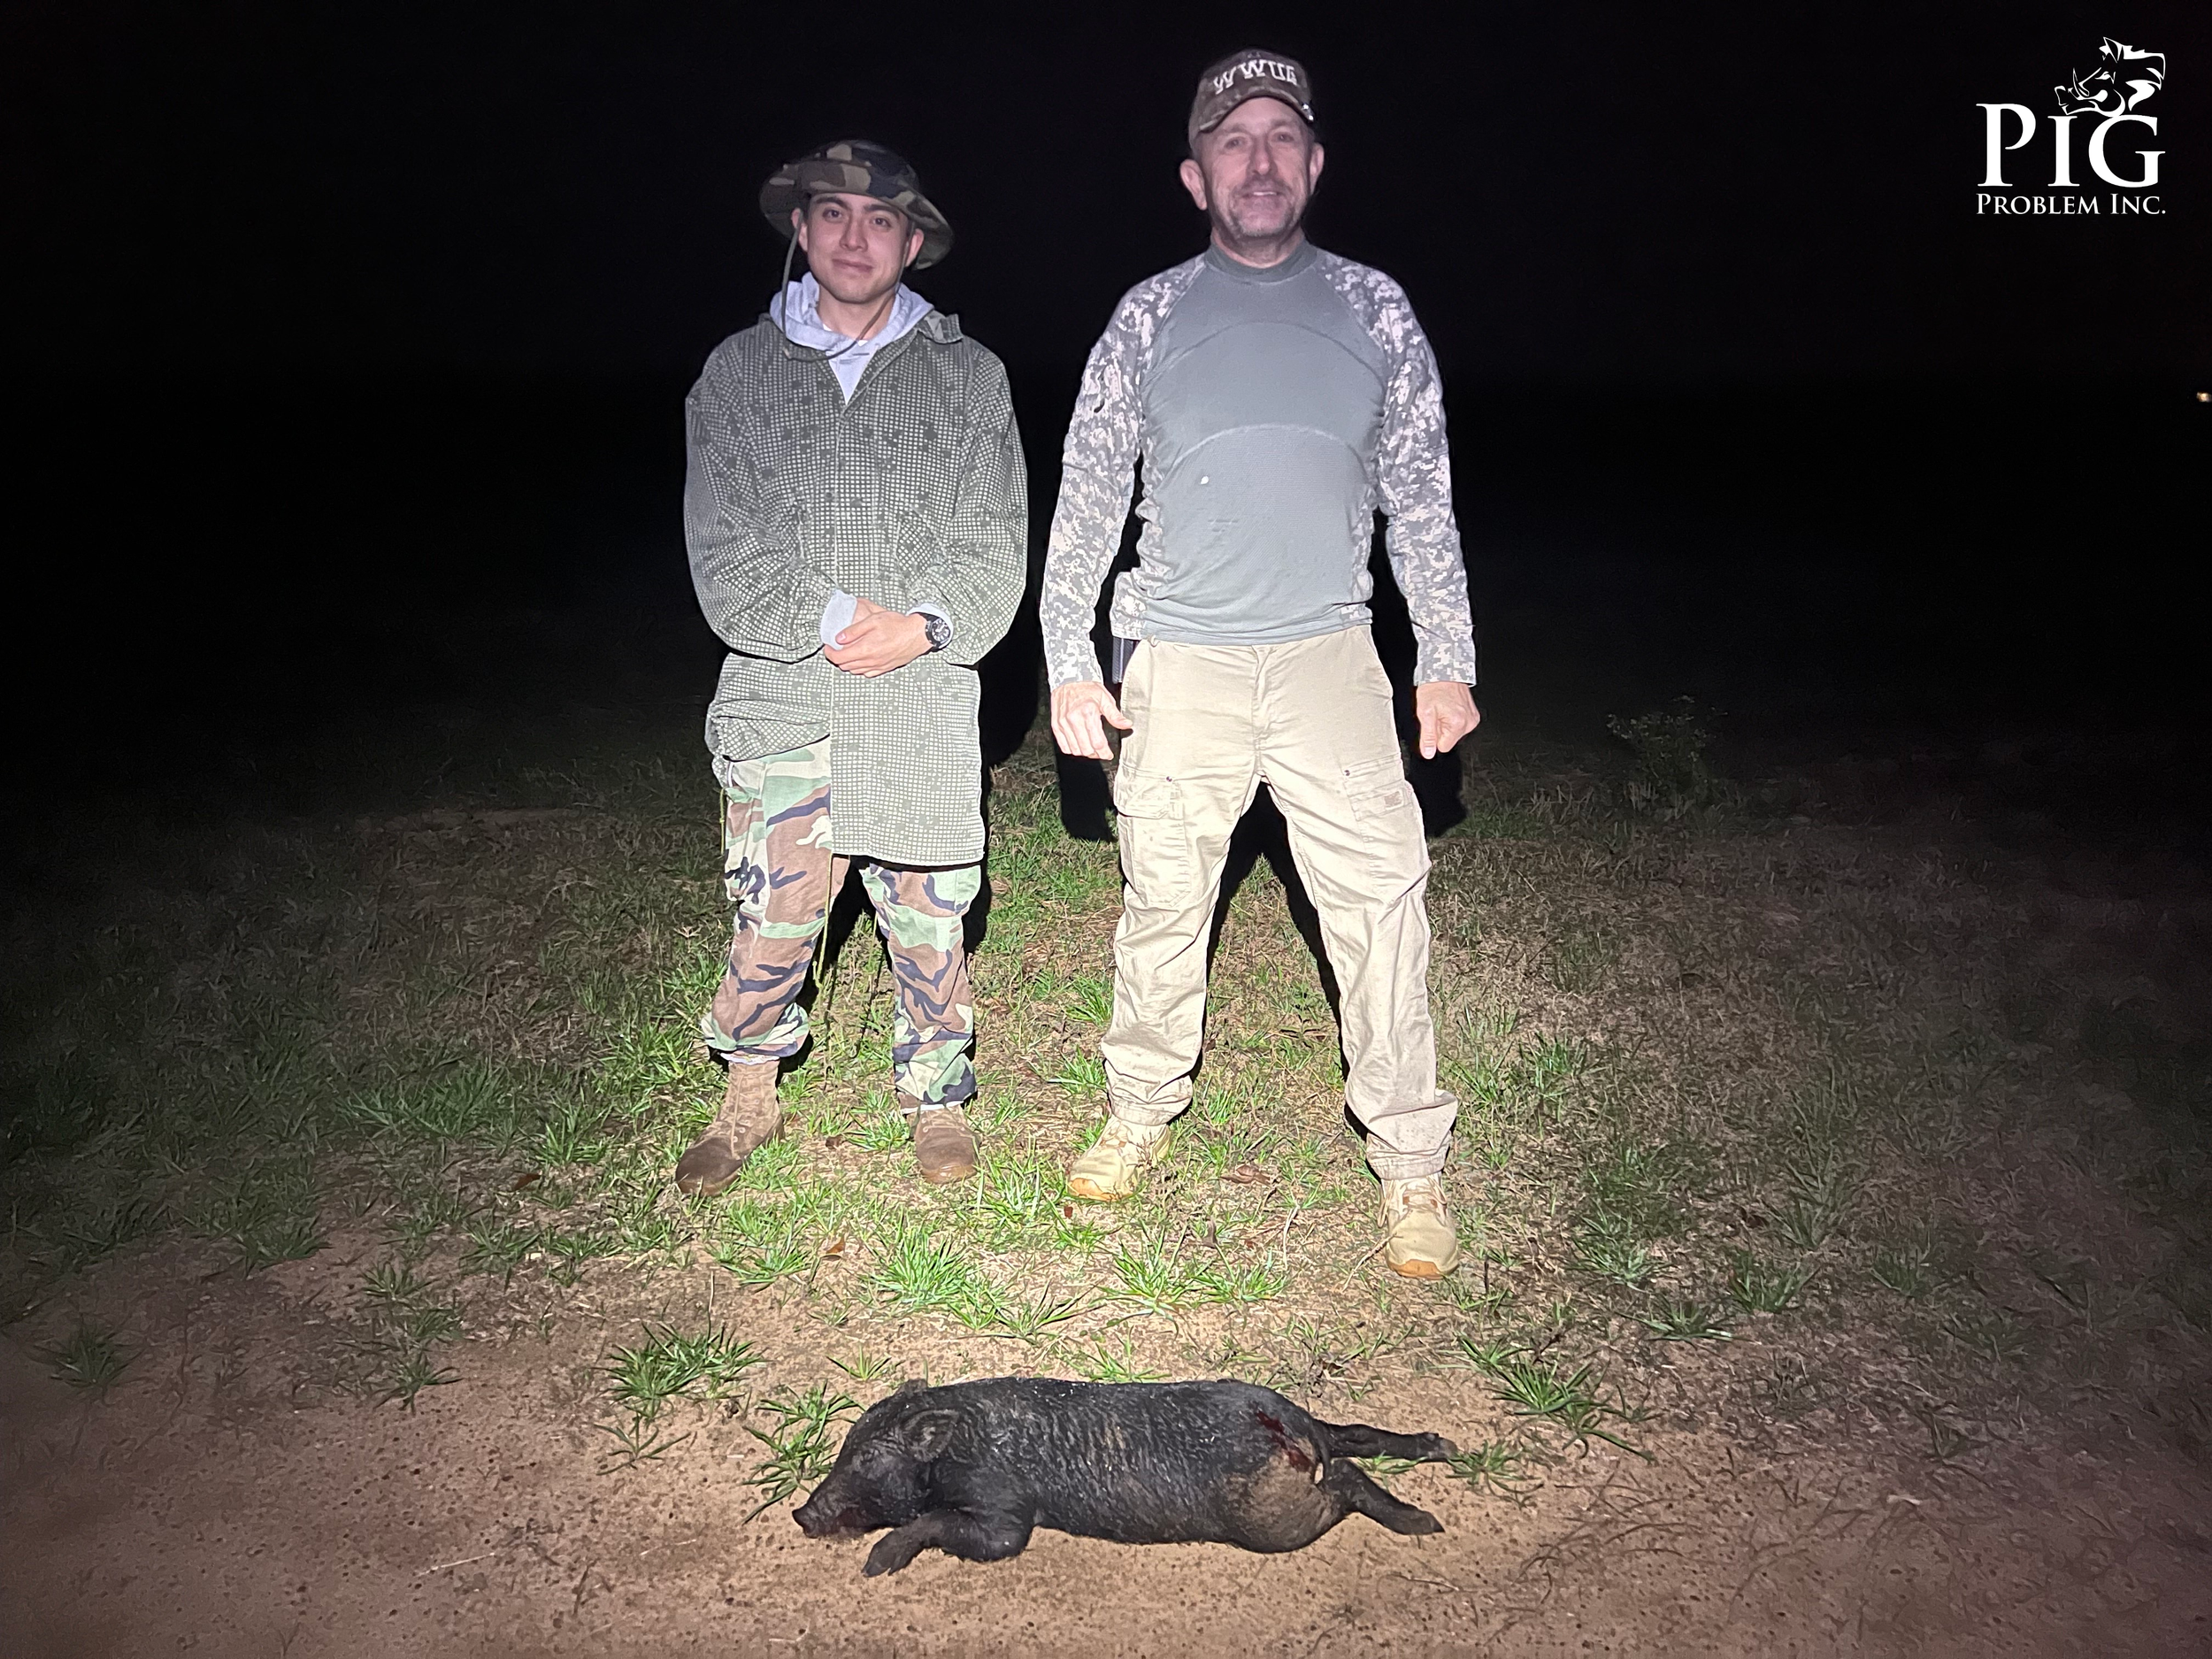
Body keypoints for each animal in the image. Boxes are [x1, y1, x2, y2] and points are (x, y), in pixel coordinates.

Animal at [792, 1376, 1458, 1575]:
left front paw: (876, 1564)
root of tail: (1284, 1419)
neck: (957, 1449)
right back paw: (1443, 1445)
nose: (800, 1511)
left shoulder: (1006, 1510)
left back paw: (1425, 1522)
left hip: (1273, 1520)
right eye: (842, 1448)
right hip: (1308, 1450)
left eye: (865, 1460)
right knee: (1350, 1436)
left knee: (1343, 1476)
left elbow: (974, 1531)